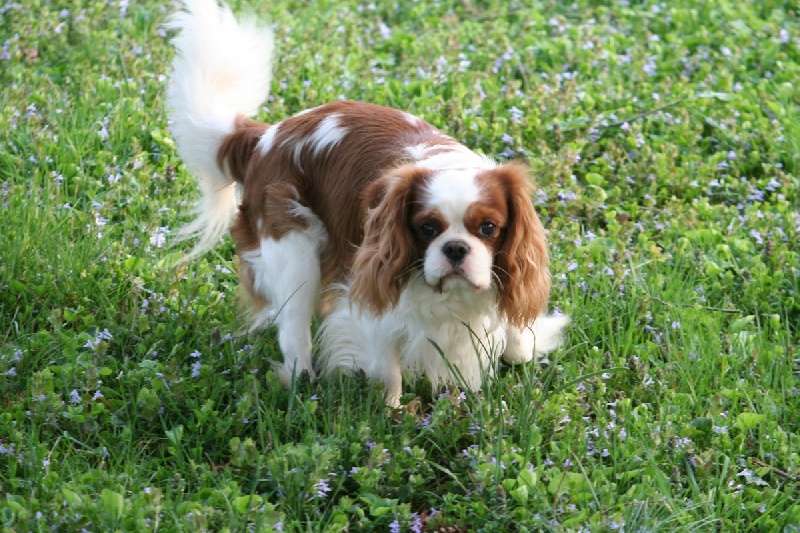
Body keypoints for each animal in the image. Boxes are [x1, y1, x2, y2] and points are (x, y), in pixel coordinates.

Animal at [167, 0, 568, 406]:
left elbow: (518, 340)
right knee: (294, 332)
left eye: (488, 228)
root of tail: (265, 136)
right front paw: (391, 412)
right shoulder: (371, 288)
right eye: (426, 228)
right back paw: (304, 385)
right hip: (292, 253)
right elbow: (385, 366)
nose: (455, 248)